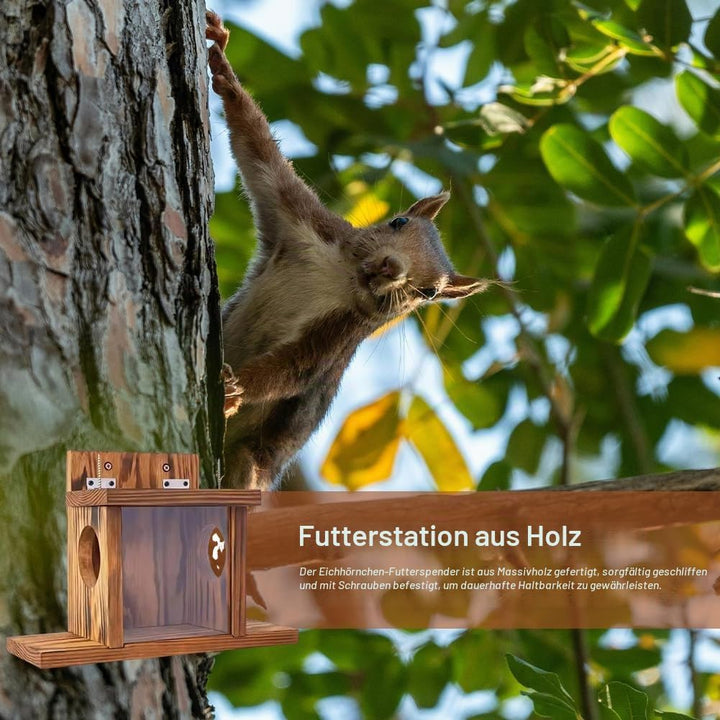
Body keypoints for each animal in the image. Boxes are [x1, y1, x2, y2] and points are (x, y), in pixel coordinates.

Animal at [206, 11, 488, 489]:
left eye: (429, 293)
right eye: (398, 222)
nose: (392, 268)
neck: (342, 276)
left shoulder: (339, 335)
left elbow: (296, 370)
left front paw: (235, 388)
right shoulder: (298, 220)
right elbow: (256, 148)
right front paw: (222, 64)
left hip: (250, 463)